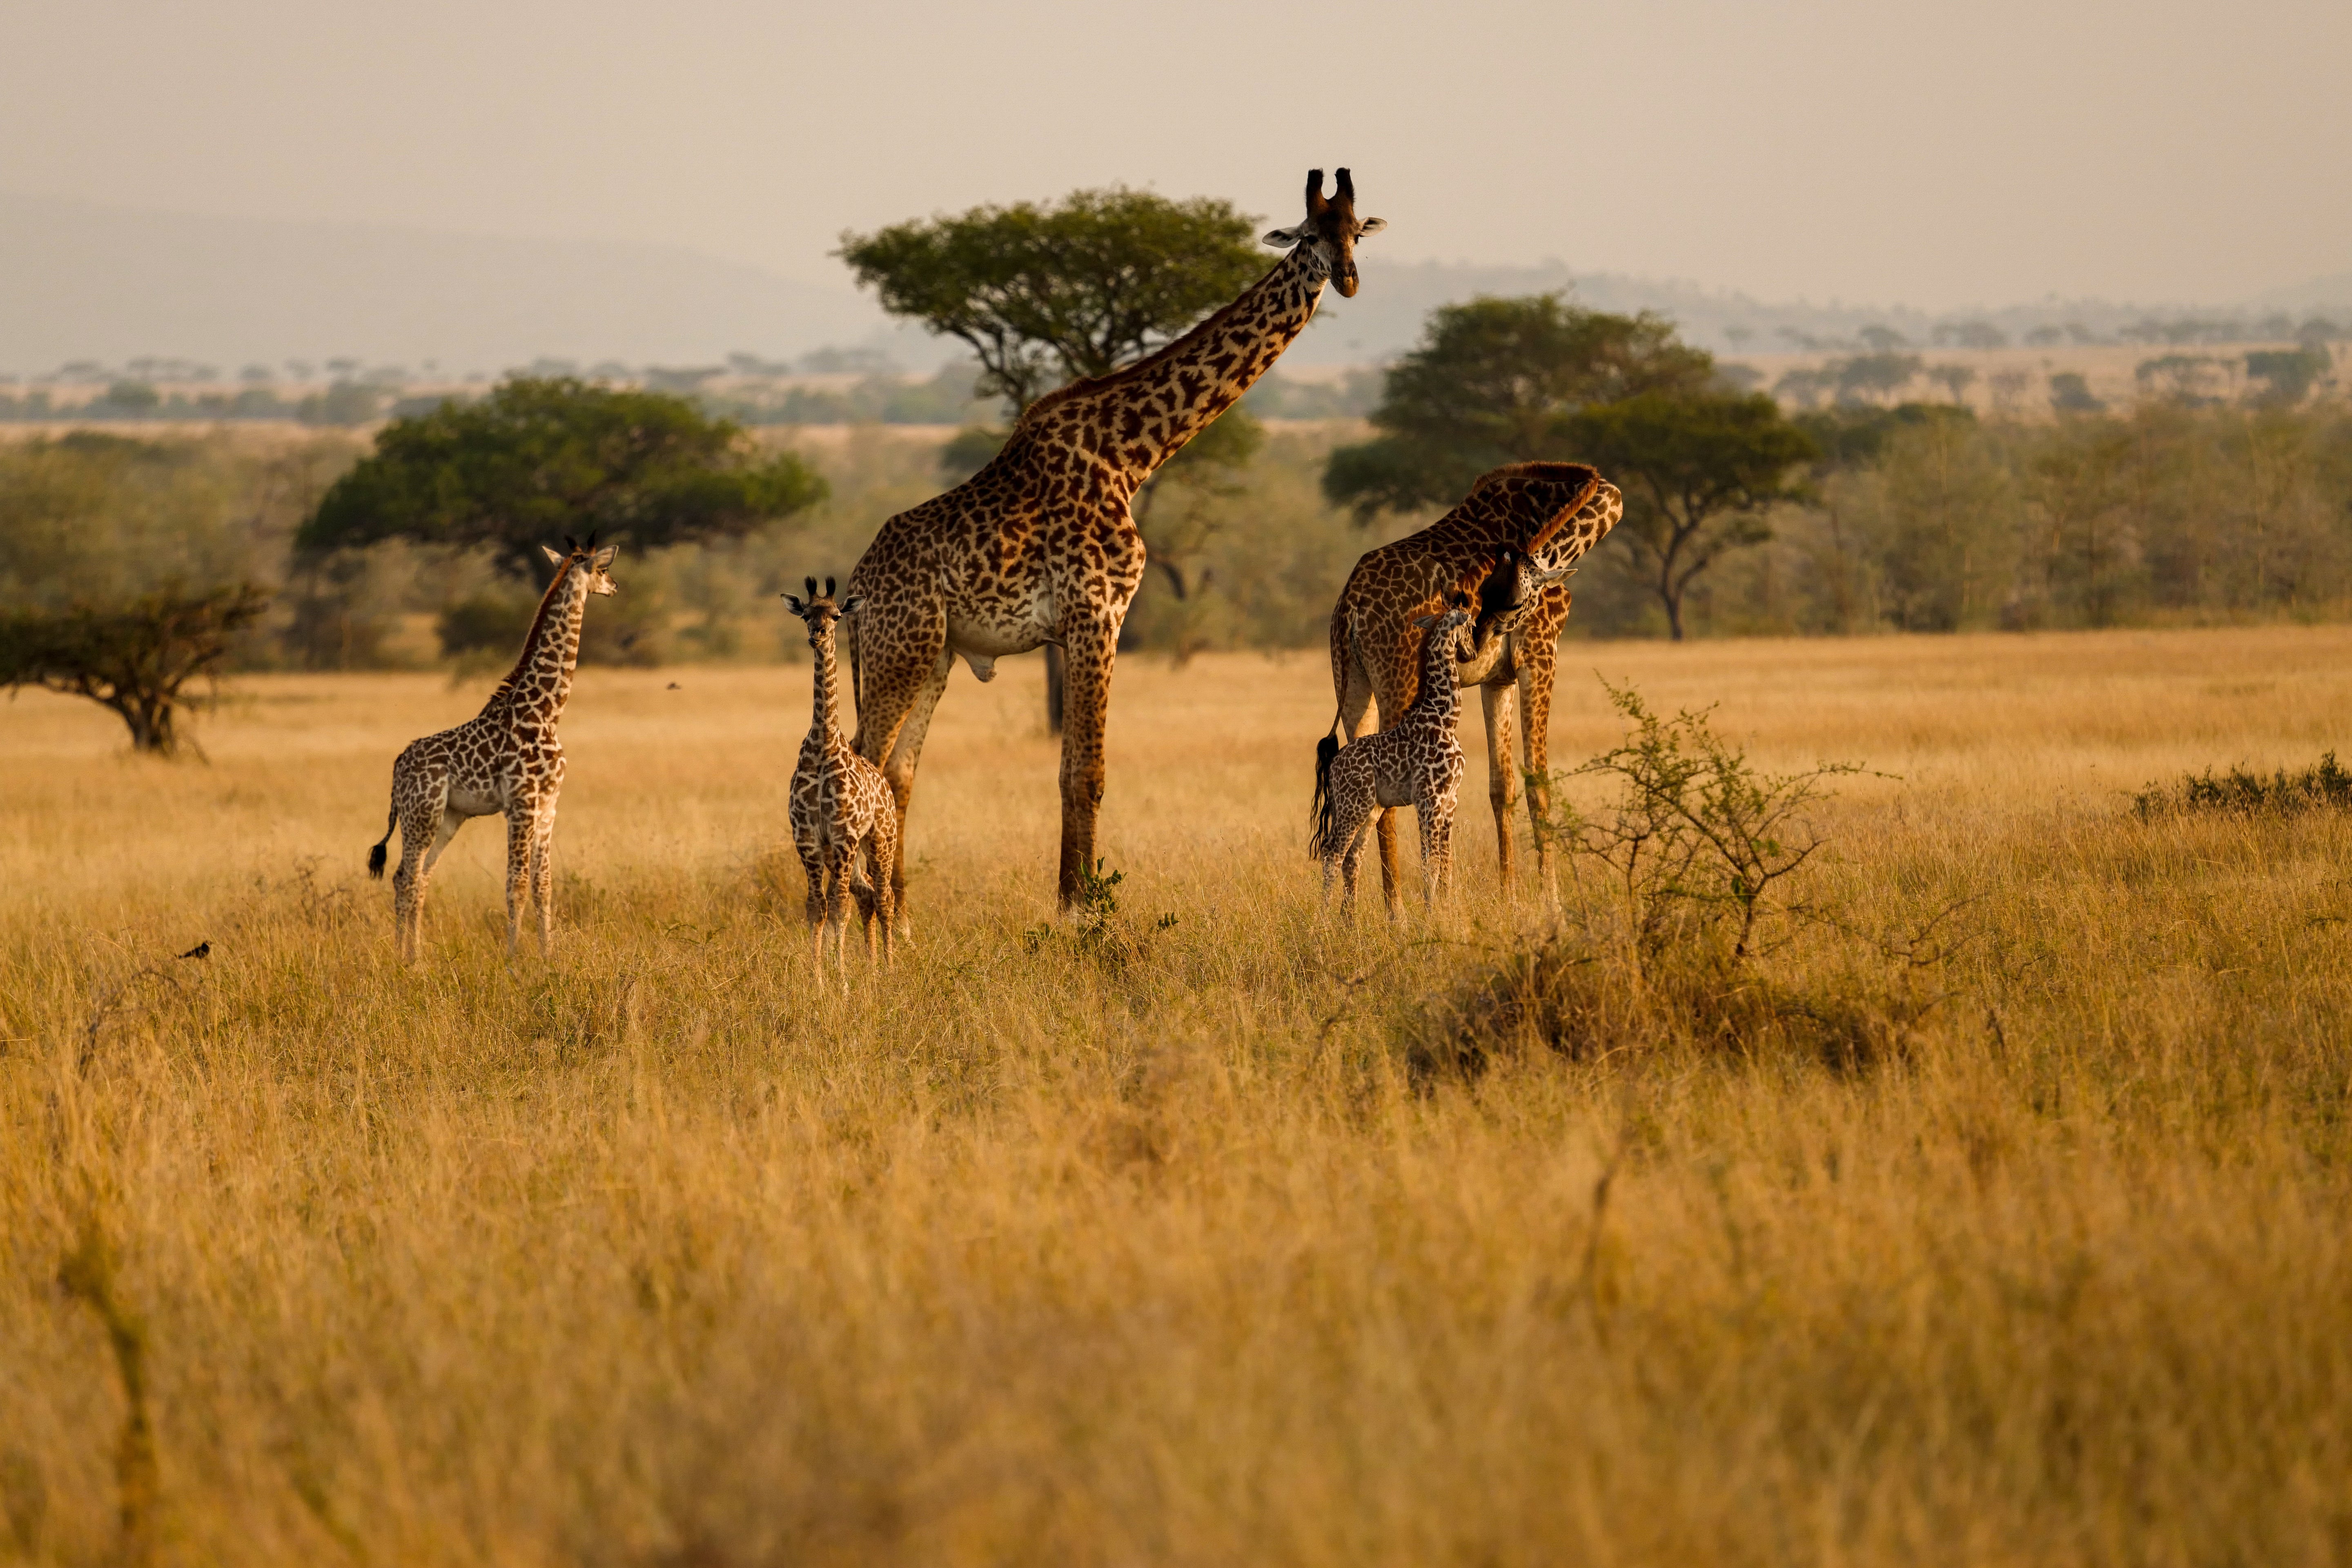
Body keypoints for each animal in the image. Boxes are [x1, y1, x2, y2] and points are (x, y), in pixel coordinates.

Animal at [366, 537, 619, 960]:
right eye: (602, 569)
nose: (615, 587)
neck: (548, 711)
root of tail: (398, 767)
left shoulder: (549, 806)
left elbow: (543, 886)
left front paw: (549, 958)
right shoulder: (520, 804)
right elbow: (515, 884)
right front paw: (514, 960)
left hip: (448, 819)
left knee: (422, 878)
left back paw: (417, 959)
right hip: (422, 814)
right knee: (405, 877)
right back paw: (406, 960)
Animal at [784, 576, 898, 986]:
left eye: (835, 615)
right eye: (805, 614)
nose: (817, 635)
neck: (823, 742)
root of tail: (887, 787)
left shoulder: (845, 836)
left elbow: (839, 907)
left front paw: (843, 983)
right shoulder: (809, 839)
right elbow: (817, 907)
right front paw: (820, 980)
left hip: (881, 840)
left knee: (883, 897)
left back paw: (889, 969)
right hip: (843, 853)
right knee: (865, 895)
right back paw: (873, 966)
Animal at [845, 167, 1386, 918]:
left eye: (1357, 231)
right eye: (1309, 236)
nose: (1349, 279)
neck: (1133, 454)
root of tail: (855, 591)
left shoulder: (1080, 625)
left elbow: (1070, 767)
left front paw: (1073, 899)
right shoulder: (1097, 613)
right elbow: (1088, 773)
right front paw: (1080, 909)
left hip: (934, 655)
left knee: (896, 771)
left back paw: (896, 919)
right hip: (899, 651)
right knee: (860, 763)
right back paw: (854, 910)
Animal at [1308, 598, 1500, 913]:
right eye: (1471, 624)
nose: (1473, 652)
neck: (1446, 717)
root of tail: (1334, 765)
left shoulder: (1450, 800)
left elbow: (1446, 861)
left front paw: (1445, 910)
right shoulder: (1428, 799)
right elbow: (1429, 861)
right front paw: (1431, 912)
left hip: (1370, 809)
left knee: (1352, 857)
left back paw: (1349, 920)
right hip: (1352, 807)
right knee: (1332, 854)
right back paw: (1323, 919)